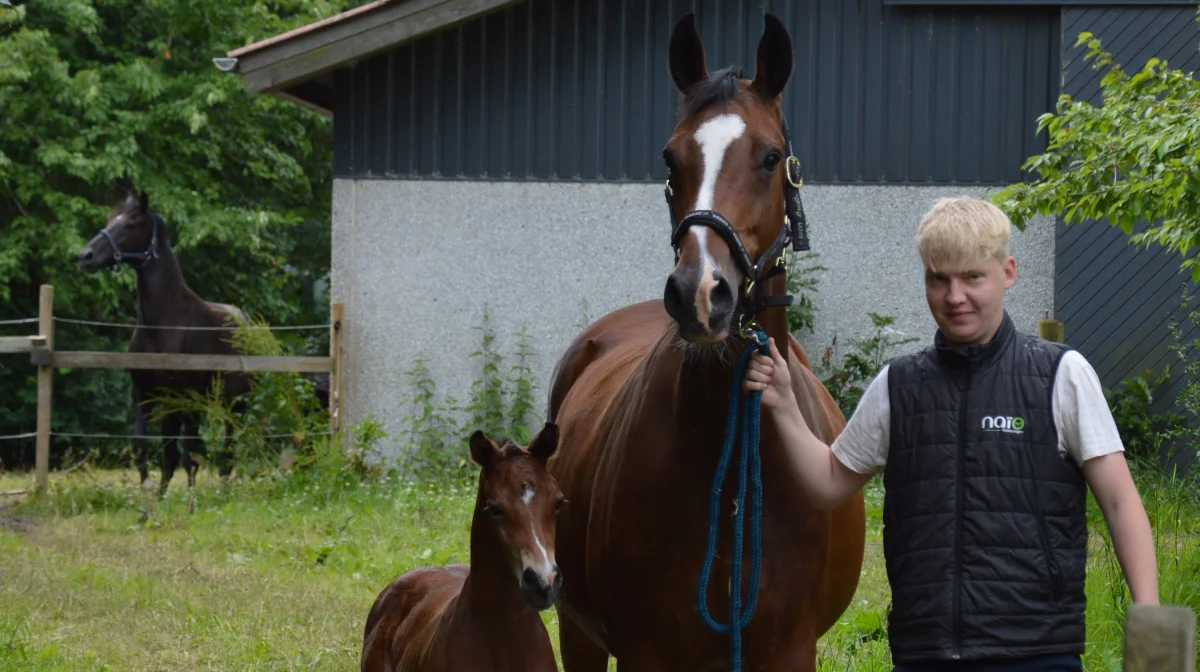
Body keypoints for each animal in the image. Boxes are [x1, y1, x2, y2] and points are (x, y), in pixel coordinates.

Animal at [544, 11, 864, 672]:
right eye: (671, 160)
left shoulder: (790, 649)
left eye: (771, 157)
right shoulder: (643, 650)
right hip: (578, 631)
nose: (699, 293)